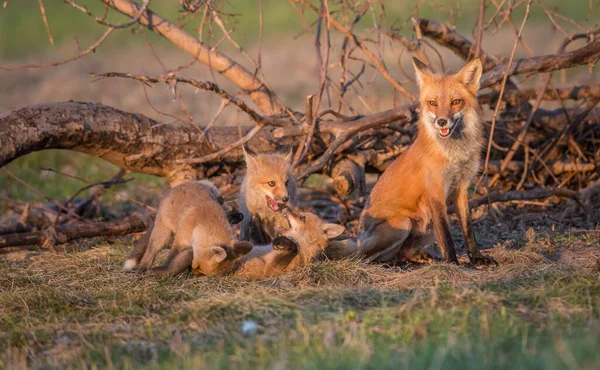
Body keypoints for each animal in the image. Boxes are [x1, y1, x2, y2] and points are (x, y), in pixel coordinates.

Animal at [356, 57, 496, 266]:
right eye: (433, 103)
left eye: (456, 102)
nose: (442, 122)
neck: (454, 155)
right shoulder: (436, 192)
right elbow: (446, 237)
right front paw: (453, 264)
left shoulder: (461, 188)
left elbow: (468, 230)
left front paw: (476, 258)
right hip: (403, 222)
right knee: (368, 258)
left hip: (426, 228)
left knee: (402, 252)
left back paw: (416, 258)